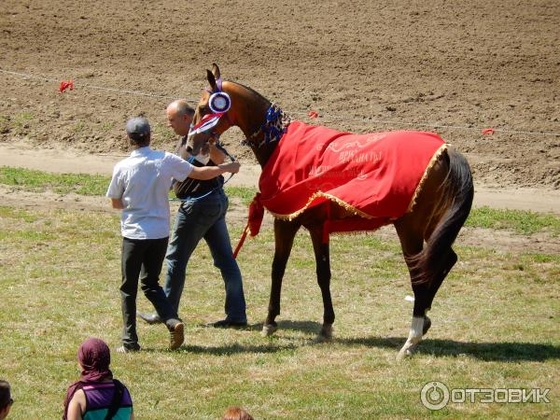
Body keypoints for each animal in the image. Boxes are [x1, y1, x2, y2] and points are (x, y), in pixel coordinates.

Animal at [188, 64, 472, 360]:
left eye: (204, 108)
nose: (191, 145)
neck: (281, 144)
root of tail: (446, 151)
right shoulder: (317, 227)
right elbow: (323, 274)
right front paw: (326, 325)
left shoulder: (285, 222)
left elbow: (278, 268)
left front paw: (270, 322)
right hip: (433, 227)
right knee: (444, 260)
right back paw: (424, 320)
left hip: (410, 229)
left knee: (421, 274)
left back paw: (411, 339)